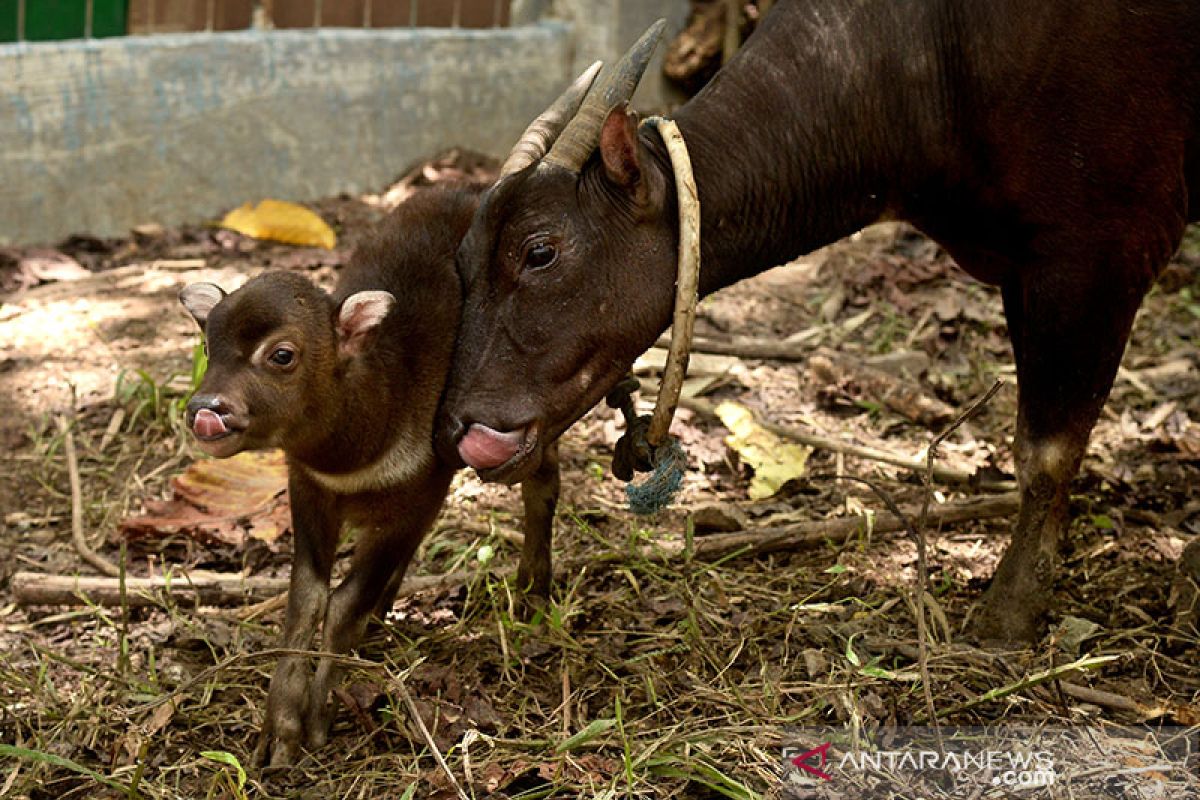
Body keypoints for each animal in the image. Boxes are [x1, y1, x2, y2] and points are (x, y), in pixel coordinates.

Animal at [178, 188, 561, 767]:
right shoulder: (309, 490)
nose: (208, 409)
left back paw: (534, 592)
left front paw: (316, 722)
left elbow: (340, 606)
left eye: (282, 354)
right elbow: (307, 599)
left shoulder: (416, 493)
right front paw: (278, 735)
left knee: (544, 482)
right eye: (209, 345)